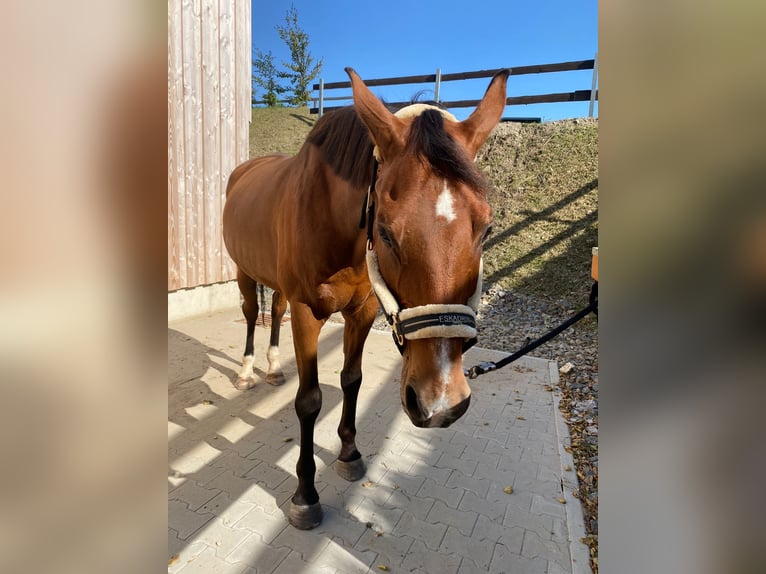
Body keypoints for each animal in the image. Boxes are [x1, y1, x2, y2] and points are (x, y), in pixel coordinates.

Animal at [222, 68, 510, 532]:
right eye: (388, 233)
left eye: (486, 228)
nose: (440, 403)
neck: (332, 221)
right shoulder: (308, 313)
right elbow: (310, 400)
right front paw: (305, 494)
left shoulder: (363, 310)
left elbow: (351, 380)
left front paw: (349, 455)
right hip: (244, 271)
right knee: (252, 313)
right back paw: (249, 371)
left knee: (274, 311)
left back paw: (272, 368)